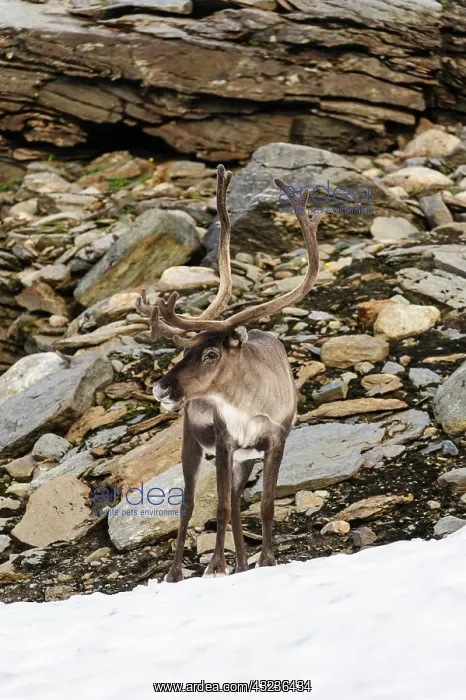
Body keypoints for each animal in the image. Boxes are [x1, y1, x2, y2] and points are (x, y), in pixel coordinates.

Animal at [135, 164, 322, 582]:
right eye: (184, 349)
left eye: (210, 353)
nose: (160, 387)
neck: (251, 404)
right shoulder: (223, 441)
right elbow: (217, 507)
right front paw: (215, 566)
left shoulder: (274, 441)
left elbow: (264, 505)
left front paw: (266, 560)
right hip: (192, 444)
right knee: (190, 504)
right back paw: (178, 573)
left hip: (244, 459)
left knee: (237, 503)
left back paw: (241, 562)